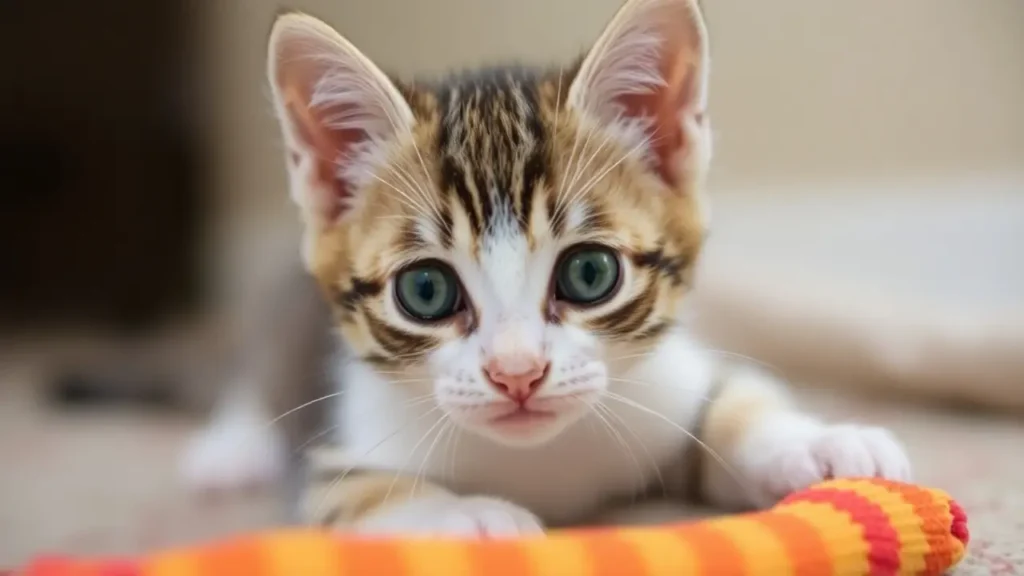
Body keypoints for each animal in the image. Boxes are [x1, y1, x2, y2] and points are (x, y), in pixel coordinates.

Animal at [188, 0, 909, 532]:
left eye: (589, 275)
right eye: (426, 289)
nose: (517, 373)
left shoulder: (669, 382)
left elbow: (732, 404)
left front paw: (816, 443)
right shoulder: (331, 452)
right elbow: (366, 494)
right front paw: (468, 520)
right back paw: (229, 451)